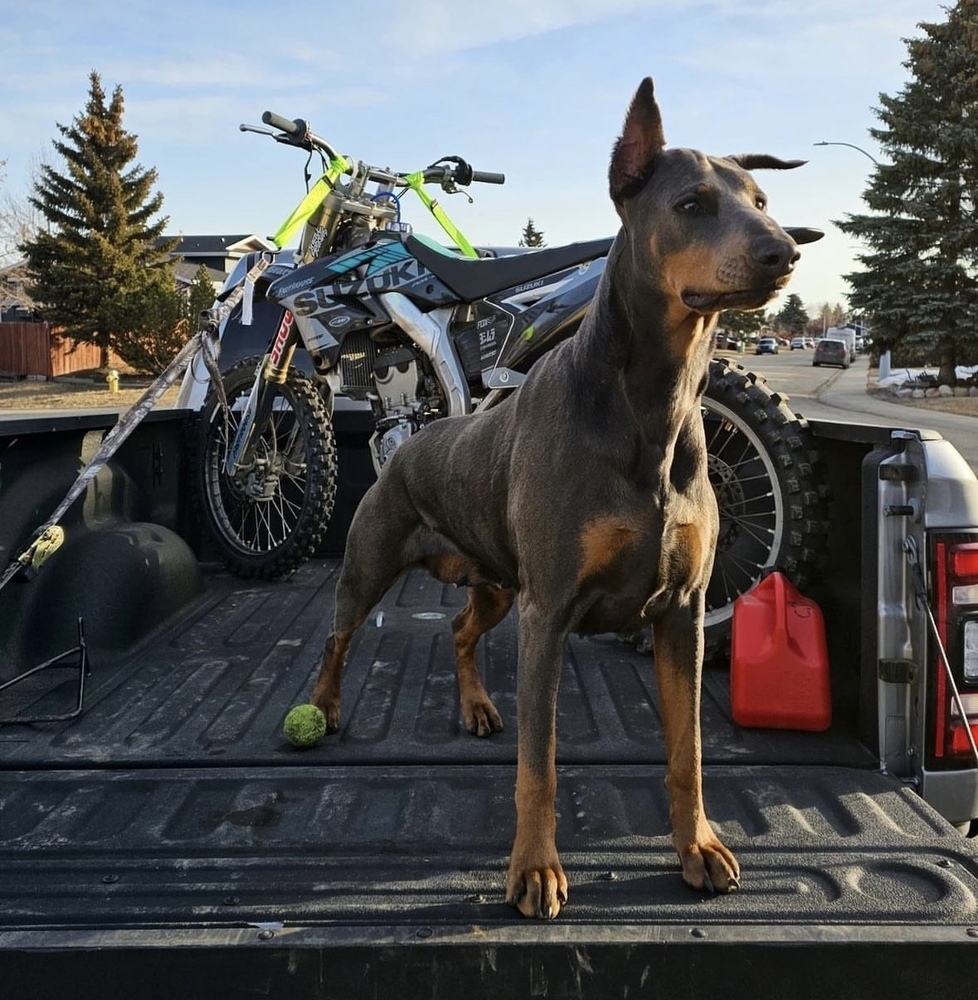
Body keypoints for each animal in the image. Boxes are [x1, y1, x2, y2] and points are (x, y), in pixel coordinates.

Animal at [306, 76, 808, 920]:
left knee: (461, 632)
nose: (786, 249)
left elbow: (688, 752)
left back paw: (477, 706)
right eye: (692, 203)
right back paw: (324, 706)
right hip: (375, 566)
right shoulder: (550, 614)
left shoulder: (680, 614)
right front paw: (535, 870)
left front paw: (697, 847)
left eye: (763, 198)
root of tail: (407, 441)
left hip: (496, 584)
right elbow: (537, 765)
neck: (652, 405)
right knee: (337, 640)